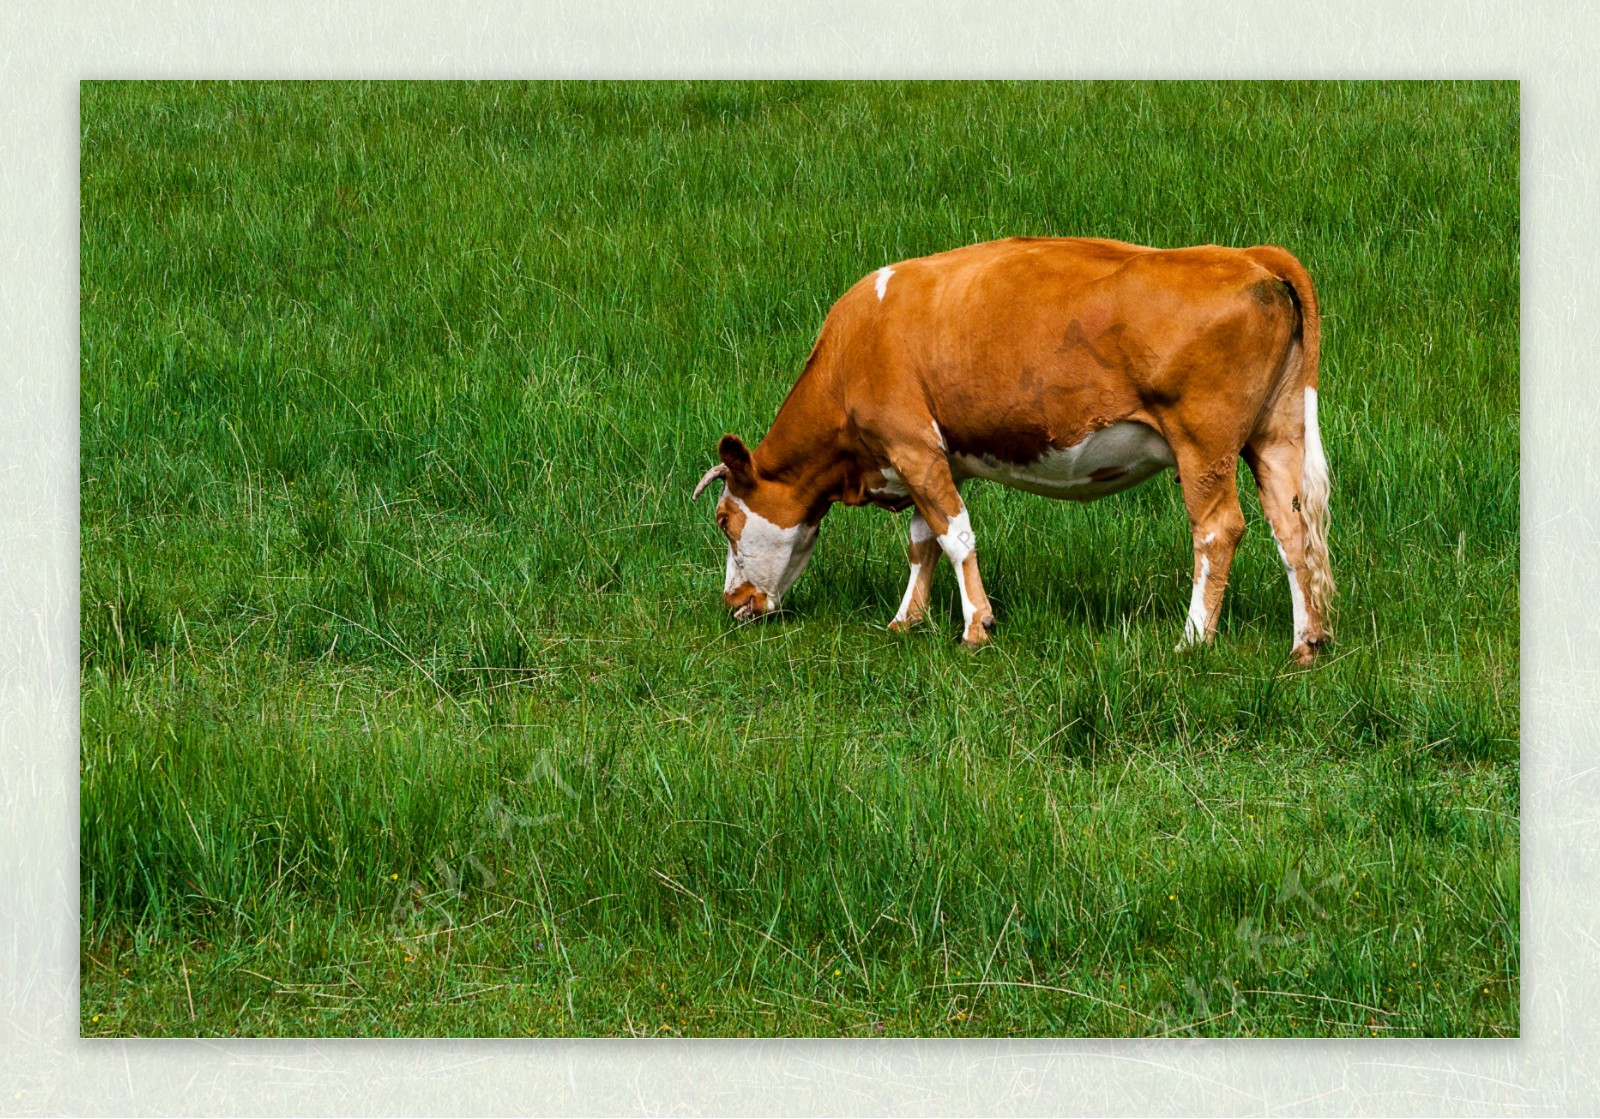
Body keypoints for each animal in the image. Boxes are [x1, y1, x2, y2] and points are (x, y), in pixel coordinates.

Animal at [694, 232, 1331, 659]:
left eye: (725, 520)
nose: (732, 602)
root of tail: (1247, 255)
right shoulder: (936, 460)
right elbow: (923, 541)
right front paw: (906, 622)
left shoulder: (911, 446)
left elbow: (955, 536)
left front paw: (977, 626)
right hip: (1275, 435)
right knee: (1292, 526)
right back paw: (1306, 641)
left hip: (1203, 445)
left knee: (1217, 530)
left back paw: (1193, 639)